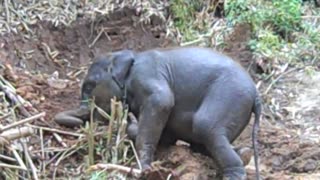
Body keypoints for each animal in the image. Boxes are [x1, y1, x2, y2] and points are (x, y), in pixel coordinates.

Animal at [58, 46, 262, 180]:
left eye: (89, 86)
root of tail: (256, 94)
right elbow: (167, 136)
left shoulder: (145, 75)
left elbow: (162, 101)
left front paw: (144, 170)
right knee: (203, 143)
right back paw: (244, 154)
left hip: (230, 95)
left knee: (205, 126)